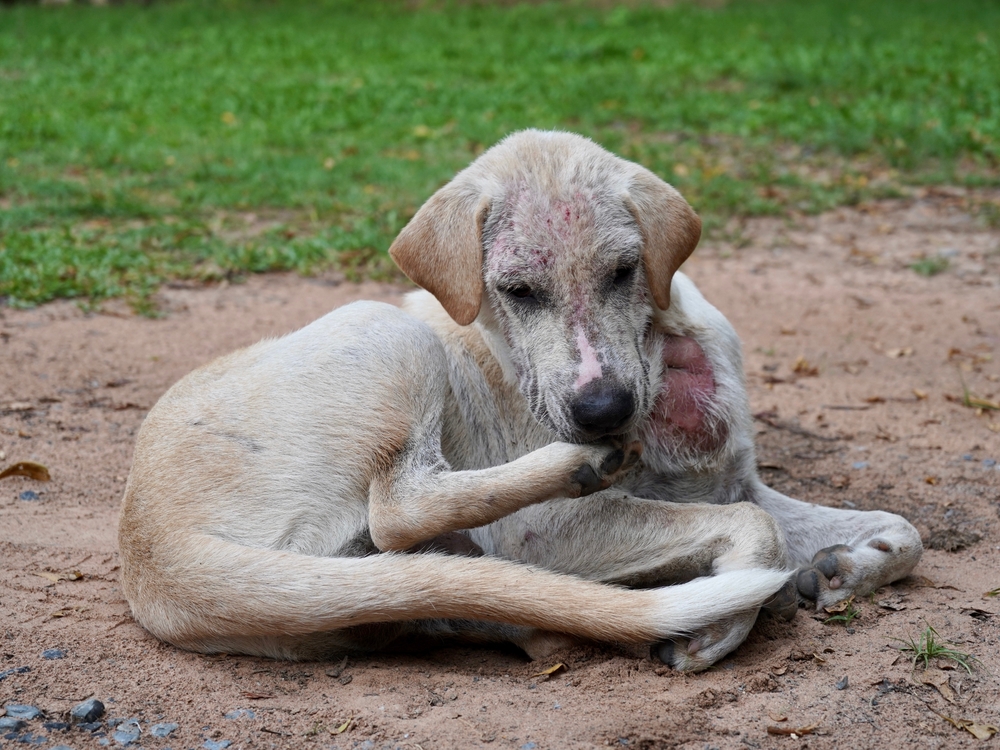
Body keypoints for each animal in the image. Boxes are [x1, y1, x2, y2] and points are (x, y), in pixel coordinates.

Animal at [119, 131, 920, 676]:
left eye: (625, 271)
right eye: (517, 292)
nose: (602, 411)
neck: (664, 368)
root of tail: (150, 550)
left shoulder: (733, 480)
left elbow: (902, 531)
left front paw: (849, 566)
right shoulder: (545, 534)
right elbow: (761, 530)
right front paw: (722, 623)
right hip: (388, 330)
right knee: (400, 510)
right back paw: (576, 469)